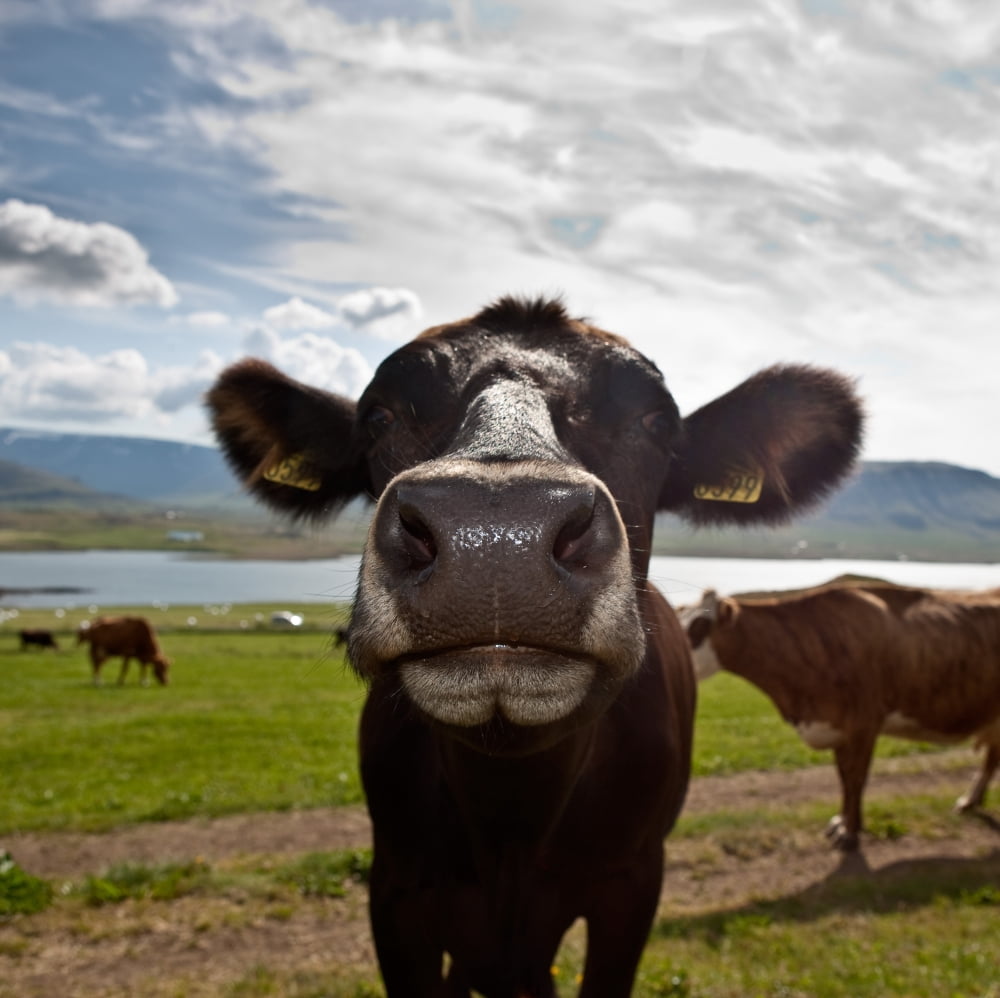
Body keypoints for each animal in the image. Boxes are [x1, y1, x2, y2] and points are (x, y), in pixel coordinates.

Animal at [207, 295, 863, 997]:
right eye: (378, 416)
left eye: (657, 421)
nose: (496, 533)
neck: (510, 816)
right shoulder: (396, 889)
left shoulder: (632, 883)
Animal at [682, 583, 1000, 852]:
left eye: (698, 626)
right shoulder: (837, 729)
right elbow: (844, 778)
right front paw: (842, 822)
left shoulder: (864, 724)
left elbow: (855, 778)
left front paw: (850, 832)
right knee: (990, 760)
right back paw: (971, 801)